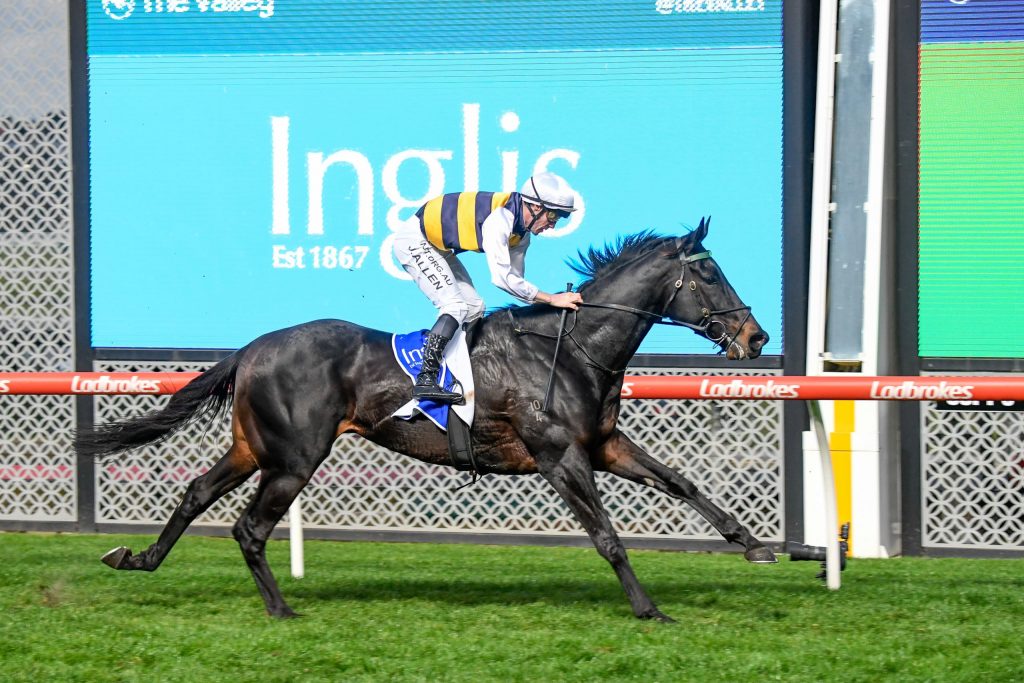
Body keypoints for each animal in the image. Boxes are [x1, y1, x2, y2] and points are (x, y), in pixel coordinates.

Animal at [77, 218, 774, 623]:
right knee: (249, 527)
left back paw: (137, 559)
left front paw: (753, 543)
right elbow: (606, 536)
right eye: (709, 272)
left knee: (196, 493)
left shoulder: (603, 444)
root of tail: (251, 348)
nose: (757, 337)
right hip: (294, 456)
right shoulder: (560, 457)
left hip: (255, 448)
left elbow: (681, 483)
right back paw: (281, 610)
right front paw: (649, 609)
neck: (572, 347)